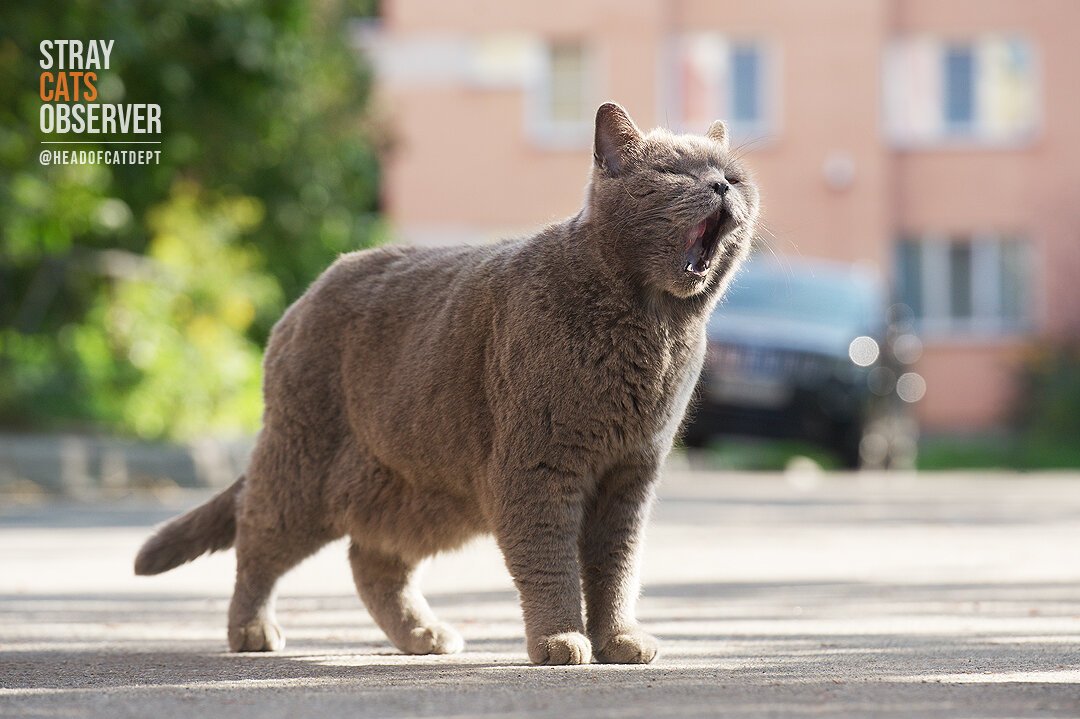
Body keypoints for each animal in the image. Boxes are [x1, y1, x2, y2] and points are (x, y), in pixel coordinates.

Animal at [135, 103, 760, 665]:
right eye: (675, 172)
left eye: (734, 174)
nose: (722, 185)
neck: (655, 330)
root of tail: (310, 290)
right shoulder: (538, 466)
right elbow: (550, 561)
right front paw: (560, 642)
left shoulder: (630, 475)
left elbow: (617, 567)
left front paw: (620, 641)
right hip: (302, 466)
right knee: (256, 538)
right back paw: (253, 631)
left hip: (418, 492)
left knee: (370, 561)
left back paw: (424, 635)